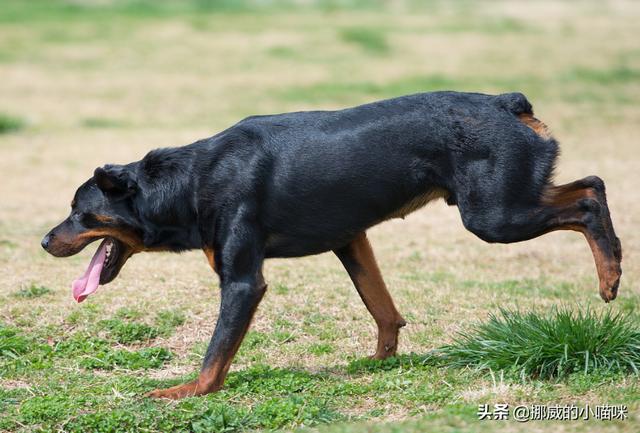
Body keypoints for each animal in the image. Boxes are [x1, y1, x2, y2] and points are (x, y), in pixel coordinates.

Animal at [40, 91, 620, 398]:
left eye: (80, 213)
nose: (45, 240)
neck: (188, 183)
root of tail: (507, 103)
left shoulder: (242, 282)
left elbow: (214, 355)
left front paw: (183, 394)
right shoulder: (352, 240)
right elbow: (382, 309)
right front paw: (380, 363)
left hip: (494, 215)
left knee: (589, 201)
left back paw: (612, 274)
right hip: (509, 200)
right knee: (590, 183)